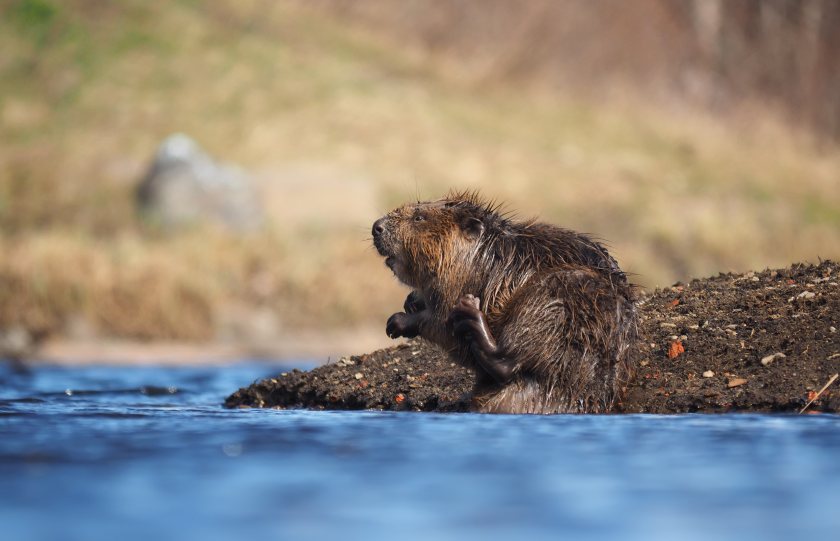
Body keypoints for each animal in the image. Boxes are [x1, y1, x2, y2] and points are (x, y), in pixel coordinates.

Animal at [374, 192, 636, 412]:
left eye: (419, 217)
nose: (377, 227)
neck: (485, 256)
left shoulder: (458, 284)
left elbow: (441, 324)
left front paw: (397, 322)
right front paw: (412, 300)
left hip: (558, 295)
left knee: (508, 363)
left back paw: (471, 314)